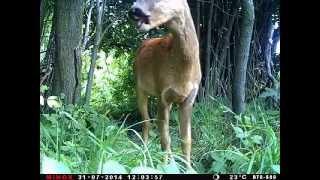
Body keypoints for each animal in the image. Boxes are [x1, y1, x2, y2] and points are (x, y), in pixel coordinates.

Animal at [129, 0, 201, 168]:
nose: (133, 10)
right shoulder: (163, 95)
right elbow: (165, 140)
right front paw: (165, 167)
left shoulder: (189, 99)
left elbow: (186, 141)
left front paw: (188, 168)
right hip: (140, 87)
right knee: (147, 123)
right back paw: (144, 155)